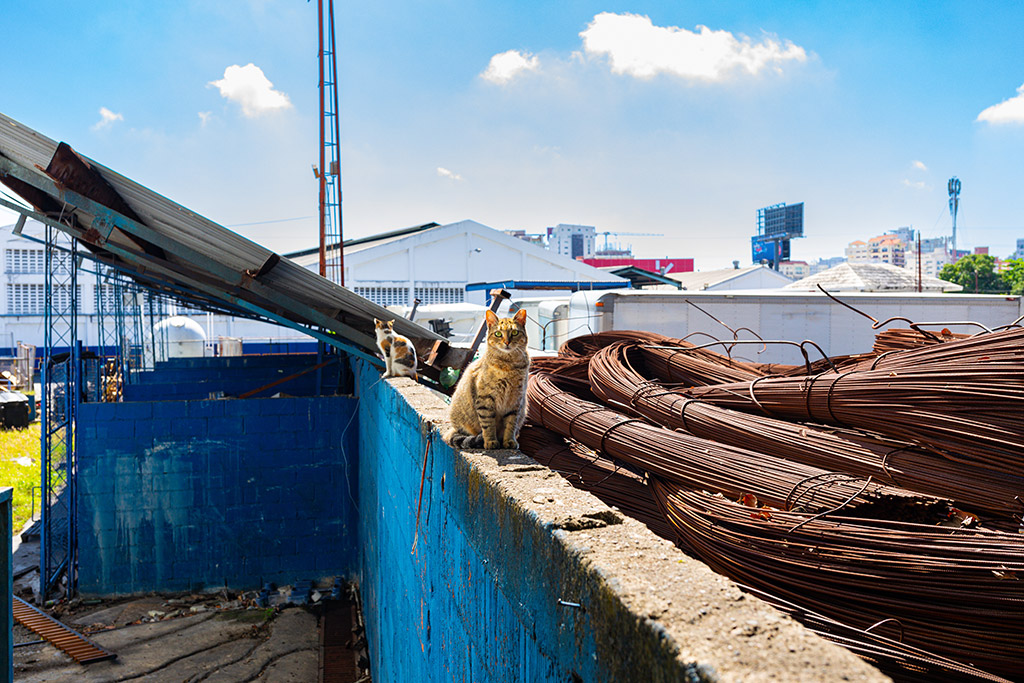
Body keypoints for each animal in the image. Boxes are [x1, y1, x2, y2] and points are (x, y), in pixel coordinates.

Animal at [444, 309, 532, 448]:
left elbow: (511, 424)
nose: (507, 342)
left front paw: (509, 441)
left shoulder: (516, 400)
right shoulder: (485, 399)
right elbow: (488, 424)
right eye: (498, 334)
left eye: (514, 332)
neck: (509, 365)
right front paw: (490, 441)